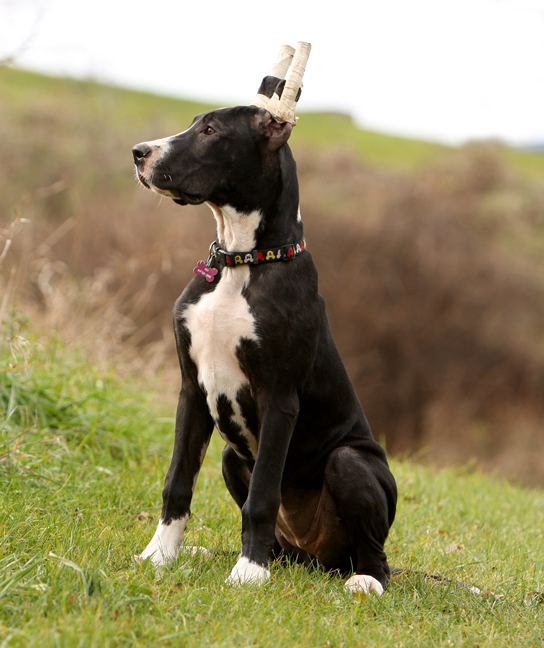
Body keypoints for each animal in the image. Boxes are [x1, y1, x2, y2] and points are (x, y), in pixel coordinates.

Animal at [132, 54, 396, 592]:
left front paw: (249, 573)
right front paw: (160, 555)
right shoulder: (192, 389)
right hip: (234, 457)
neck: (242, 260)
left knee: (372, 553)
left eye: (211, 131)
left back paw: (363, 581)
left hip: (350, 461)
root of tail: (316, 558)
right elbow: (177, 482)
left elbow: (262, 496)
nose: (139, 153)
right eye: (196, 122)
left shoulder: (279, 398)